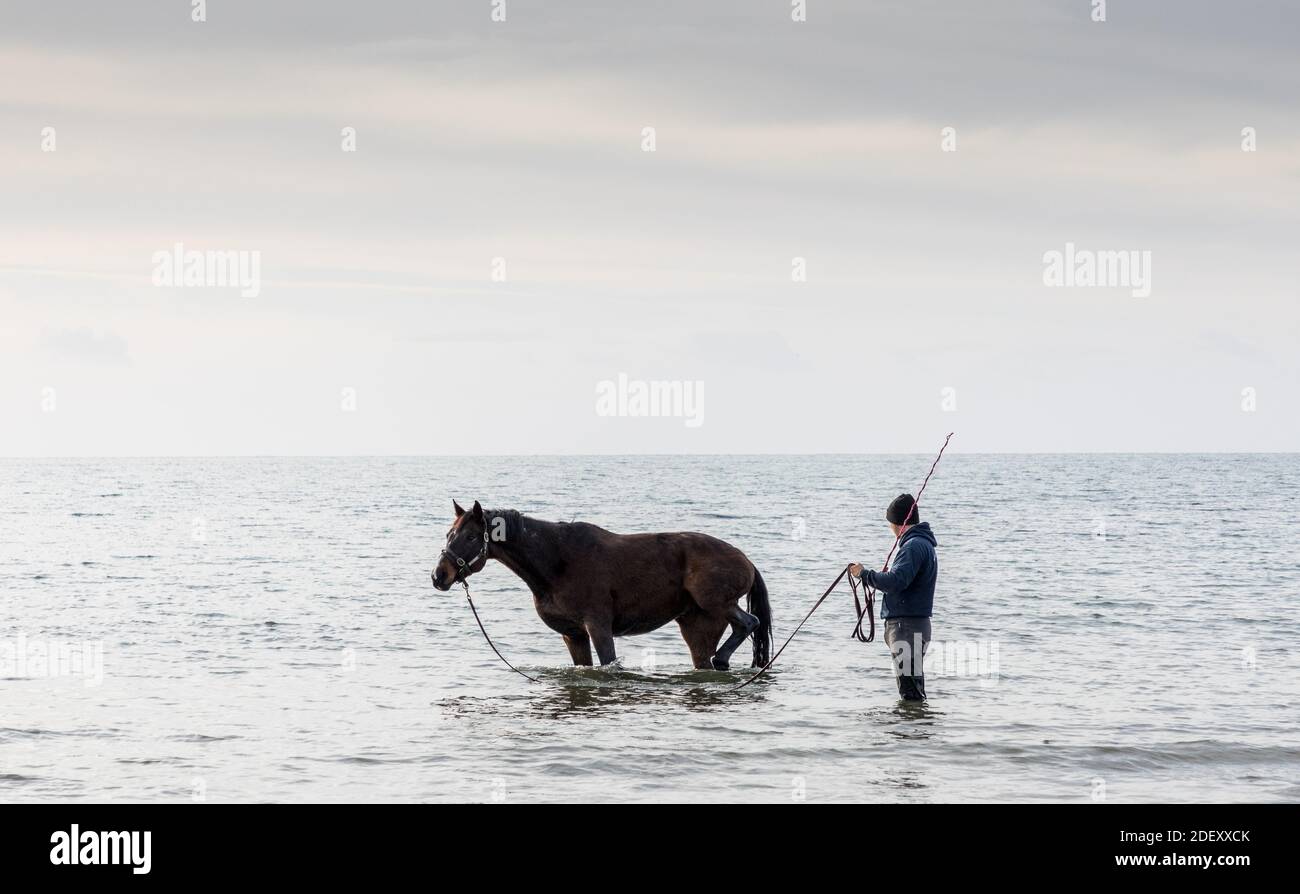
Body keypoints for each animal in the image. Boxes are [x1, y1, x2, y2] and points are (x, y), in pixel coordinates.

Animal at [431, 498, 764, 665]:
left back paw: (723, 658)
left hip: (717, 603)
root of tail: (746, 561)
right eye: (449, 533)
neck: (557, 562)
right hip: (697, 627)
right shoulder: (573, 635)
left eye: (471, 537)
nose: (439, 575)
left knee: (749, 622)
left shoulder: (598, 628)